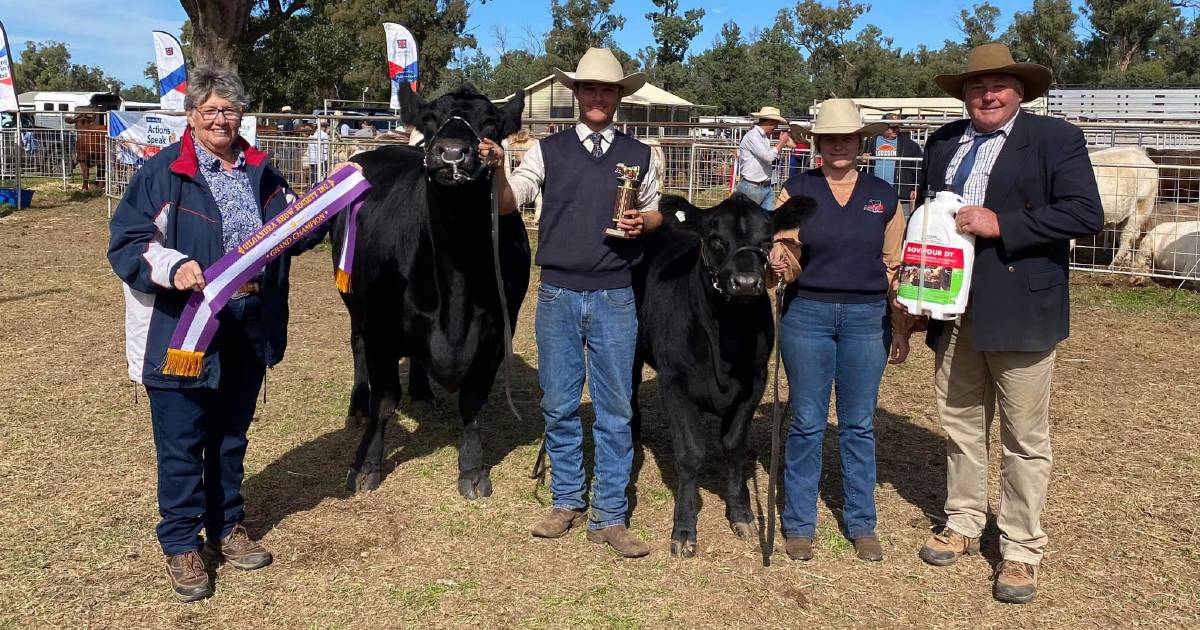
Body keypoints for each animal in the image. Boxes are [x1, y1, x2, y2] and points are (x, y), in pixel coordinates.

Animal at [333, 84, 530, 496]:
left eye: (490, 122)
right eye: (430, 119)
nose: (452, 152)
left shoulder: (496, 333)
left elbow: (472, 402)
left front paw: (472, 470)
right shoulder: (382, 328)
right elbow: (385, 401)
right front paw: (365, 464)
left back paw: (423, 393)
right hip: (354, 302)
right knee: (357, 345)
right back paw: (357, 406)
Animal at [628, 192, 816, 554]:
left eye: (767, 241)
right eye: (715, 239)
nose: (745, 283)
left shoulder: (754, 383)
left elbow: (735, 446)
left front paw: (741, 514)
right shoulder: (673, 383)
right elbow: (690, 454)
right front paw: (684, 529)